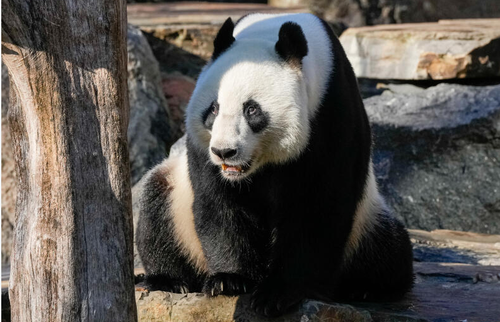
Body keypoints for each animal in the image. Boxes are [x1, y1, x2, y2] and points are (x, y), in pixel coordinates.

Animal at [137, 13, 414, 316]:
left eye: (252, 110)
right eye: (213, 108)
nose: (225, 152)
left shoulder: (332, 114)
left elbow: (319, 207)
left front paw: (279, 293)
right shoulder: (202, 148)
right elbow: (218, 202)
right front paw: (229, 280)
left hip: (367, 221)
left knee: (389, 251)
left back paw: (364, 288)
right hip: (176, 200)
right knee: (156, 207)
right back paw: (169, 280)